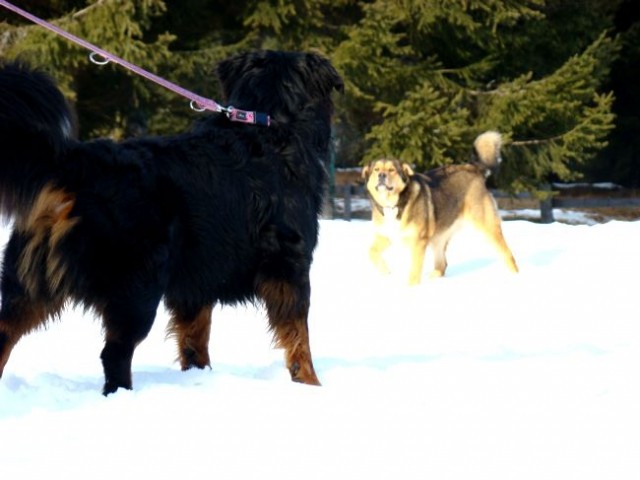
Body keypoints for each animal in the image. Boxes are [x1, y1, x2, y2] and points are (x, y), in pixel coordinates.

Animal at [0, 49, 342, 394]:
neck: (268, 126)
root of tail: (76, 164)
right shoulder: (290, 266)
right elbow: (299, 338)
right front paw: (311, 384)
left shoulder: (195, 283)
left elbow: (194, 341)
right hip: (136, 290)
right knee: (114, 354)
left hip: (28, 285)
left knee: (4, 333)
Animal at [362, 131, 516, 284]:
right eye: (376, 169)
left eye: (392, 170)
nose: (381, 175)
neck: (393, 205)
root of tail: (472, 168)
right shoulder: (384, 236)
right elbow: (370, 252)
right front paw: (384, 269)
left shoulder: (418, 242)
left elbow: (414, 273)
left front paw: (412, 287)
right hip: (438, 237)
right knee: (442, 265)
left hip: (488, 227)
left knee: (508, 254)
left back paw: (515, 276)